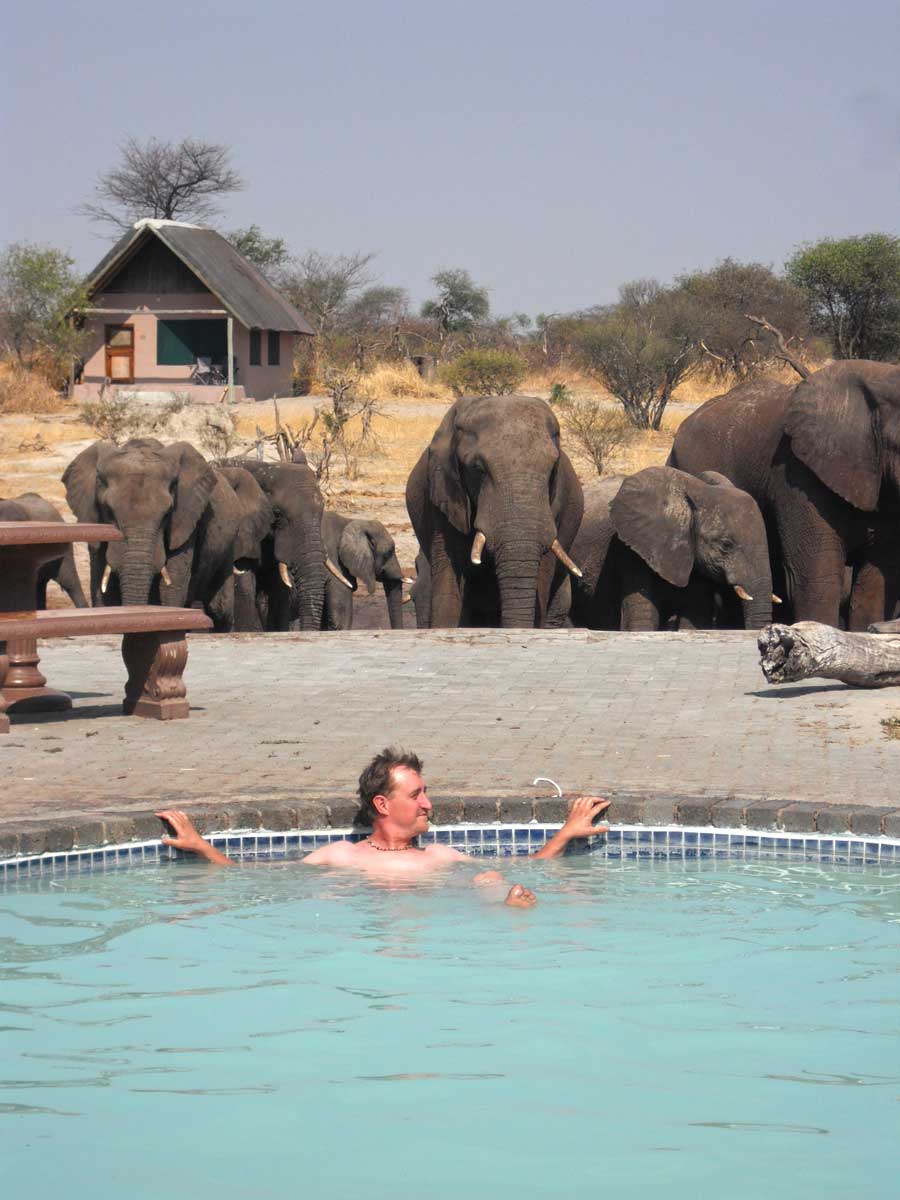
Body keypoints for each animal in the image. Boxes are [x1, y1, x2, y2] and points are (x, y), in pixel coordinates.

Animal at [60, 436, 260, 633]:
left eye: (167, 514)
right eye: (108, 511)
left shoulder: (186, 521)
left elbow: (171, 586)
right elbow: (103, 589)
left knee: (220, 609)